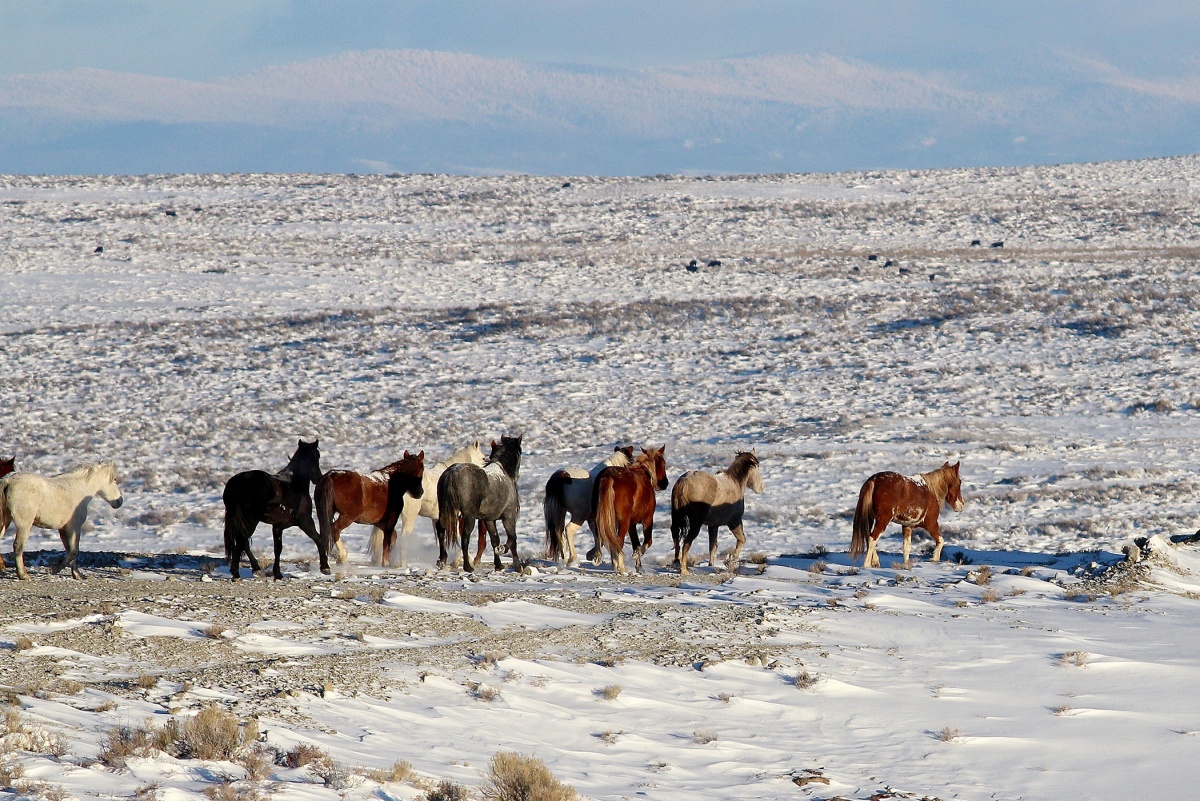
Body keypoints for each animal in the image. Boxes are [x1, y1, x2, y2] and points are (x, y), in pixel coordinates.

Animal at [220, 441, 328, 577]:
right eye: (317, 456)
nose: (318, 477)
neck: (295, 483)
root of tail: (236, 484)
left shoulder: (277, 526)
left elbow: (278, 548)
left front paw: (277, 574)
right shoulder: (305, 521)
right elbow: (318, 539)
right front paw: (325, 567)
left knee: (243, 542)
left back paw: (255, 568)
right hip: (250, 520)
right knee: (241, 540)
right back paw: (236, 573)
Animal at [436, 434, 520, 573]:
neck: (502, 472)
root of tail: (452, 472)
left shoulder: (489, 519)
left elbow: (495, 539)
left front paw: (498, 565)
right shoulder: (508, 516)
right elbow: (512, 537)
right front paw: (505, 552)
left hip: (446, 511)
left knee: (441, 529)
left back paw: (442, 560)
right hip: (469, 516)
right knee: (465, 537)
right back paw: (468, 566)